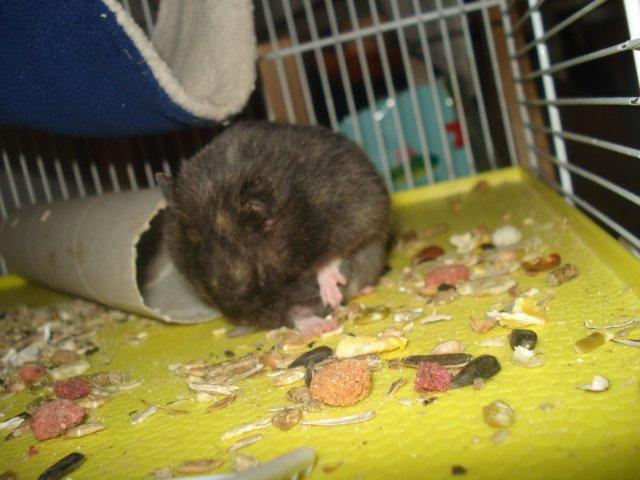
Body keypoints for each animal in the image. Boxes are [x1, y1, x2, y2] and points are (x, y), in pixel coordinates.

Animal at [157, 121, 390, 336]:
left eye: (257, 283)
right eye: (202, 290)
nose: (246, 322)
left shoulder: (356, 213)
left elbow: (333, 255)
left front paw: (332, 295)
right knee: (297, 314)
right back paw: (321, 325)